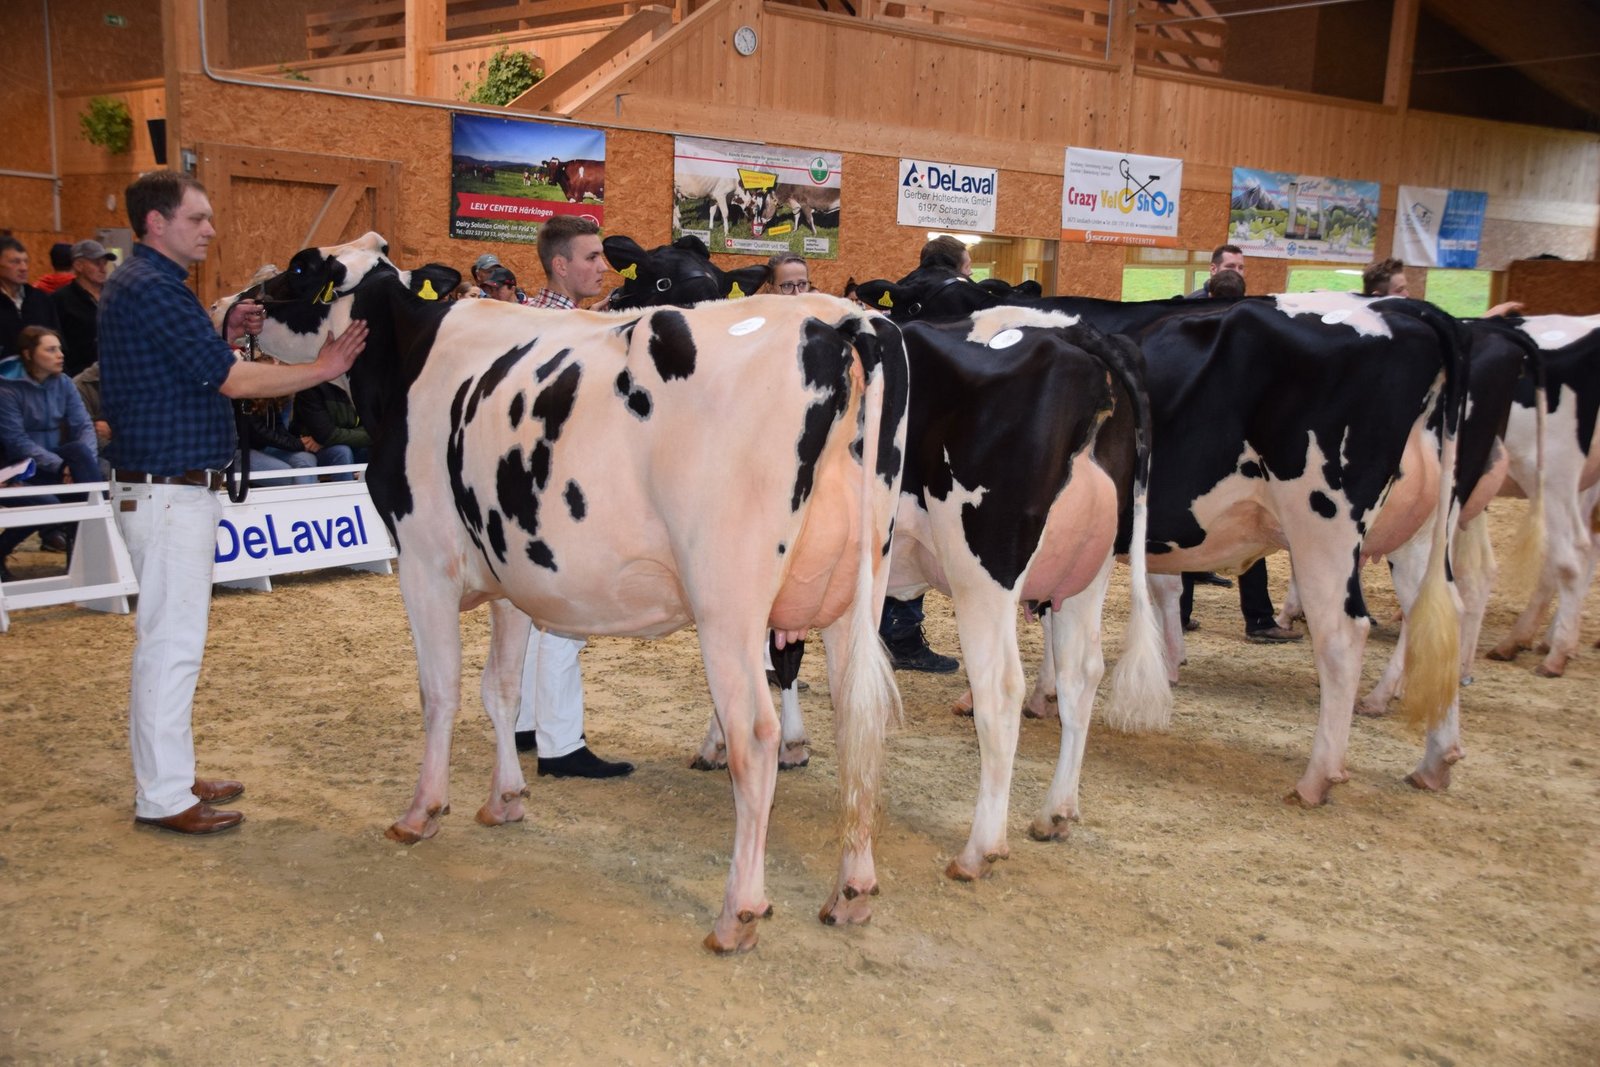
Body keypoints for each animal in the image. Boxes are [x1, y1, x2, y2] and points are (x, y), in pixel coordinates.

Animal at [215, 232, 910, 954]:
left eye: (299, 268)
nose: (231, 305)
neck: (410, 351)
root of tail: (838, 320)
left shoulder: (424, 559)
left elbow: (440, 690)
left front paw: (421, 810)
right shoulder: (510, 575)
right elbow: (501, 690)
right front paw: (504, 799)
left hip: (730, 602)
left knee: (755, 735)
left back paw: (738, 912)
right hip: (856, 591)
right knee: (858, 723)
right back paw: (852, 890)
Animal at [857, 269, 1469, 805]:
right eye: (913, 300)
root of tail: (1407, 311)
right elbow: (1061, 616)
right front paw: (1046, 693)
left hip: (1325, 521)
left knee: (1343, 634)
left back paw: (1318, 776)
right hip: (1421, 528)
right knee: (1439, 611)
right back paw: (1434, 754)